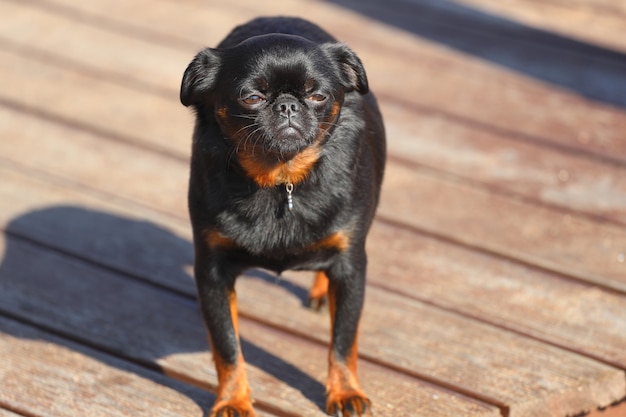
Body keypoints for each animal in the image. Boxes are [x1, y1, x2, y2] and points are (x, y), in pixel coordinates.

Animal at [180, 16, 382, 416]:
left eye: (318, 96)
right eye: (252, 98)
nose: (287, 106)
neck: (281, 179)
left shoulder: (351, 267)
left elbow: (344, 339)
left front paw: (345, 392)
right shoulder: (212, 270)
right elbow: (227, 346)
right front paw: (233, 399)